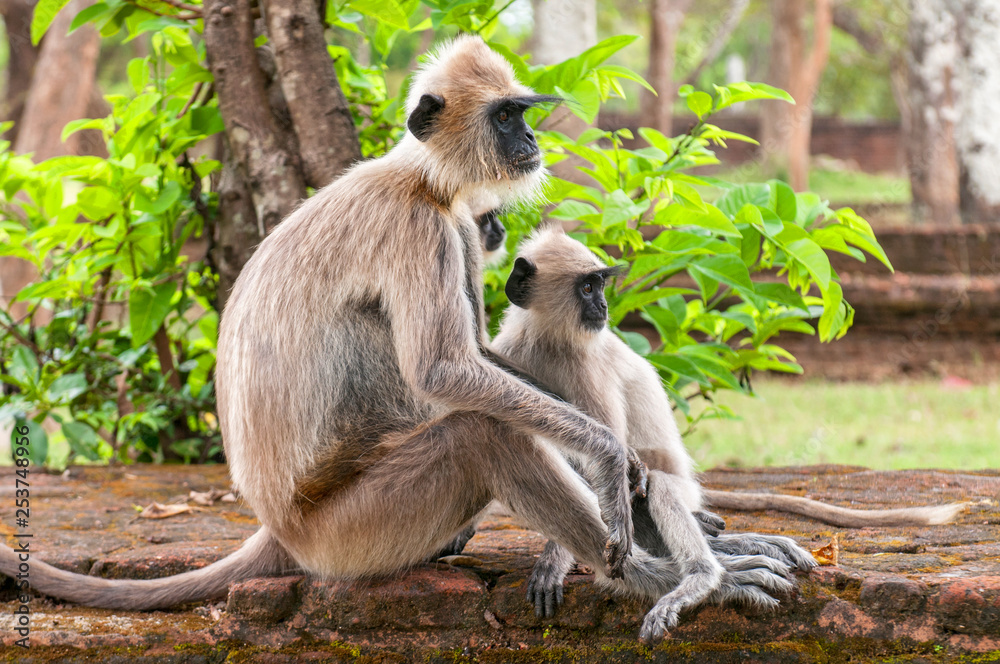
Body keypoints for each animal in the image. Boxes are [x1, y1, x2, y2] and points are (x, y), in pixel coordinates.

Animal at [1, 39, 789, 642]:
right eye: (507, 117)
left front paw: (646, 489)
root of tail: (277, 525)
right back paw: (681, 580)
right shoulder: (422, 226)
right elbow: (444, 372)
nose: (531, 142)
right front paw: (609, 459)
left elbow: (482, 355)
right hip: (353, 534)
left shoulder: (458, 225)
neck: (417, 177)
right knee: (479, 434)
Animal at [490, 227, 966, 637]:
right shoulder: (511, 351)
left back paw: (706, 573)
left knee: (651, 482)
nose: (604, 308)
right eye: (588, 288)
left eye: (599, 285)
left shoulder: (590, 366)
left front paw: (556, 558)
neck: (552, 340)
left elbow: (612, 460)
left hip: (677, 486)